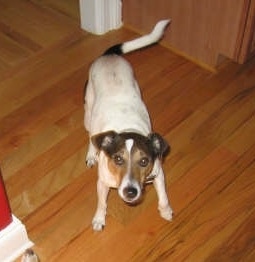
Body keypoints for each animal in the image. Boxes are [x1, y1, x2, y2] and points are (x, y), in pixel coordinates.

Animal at [83, 19, 173, 230]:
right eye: (117, 159)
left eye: (144, 161)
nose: (131, 192)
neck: (127, 127)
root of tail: (109, 56)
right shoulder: (103, 183)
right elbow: (102, 202)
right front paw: (99, 219)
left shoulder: (158, 174)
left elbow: (163, 195)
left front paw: (165, 210)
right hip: (88, 112)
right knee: (91, 137)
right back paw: (91, 154)